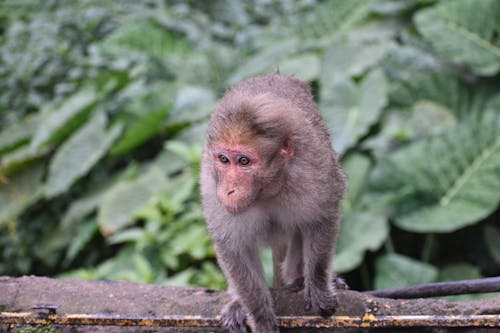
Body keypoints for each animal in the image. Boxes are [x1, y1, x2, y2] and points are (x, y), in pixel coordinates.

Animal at [198, 72, 344, 332]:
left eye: (244, 161)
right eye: (224, 159)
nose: (229, 191)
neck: (266, 190)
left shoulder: (314, 171)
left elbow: (321, 217)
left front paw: (317, 286)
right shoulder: (210, 186)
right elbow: (233, 246)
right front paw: (260, 315)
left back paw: (300, 277)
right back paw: (238, 302)